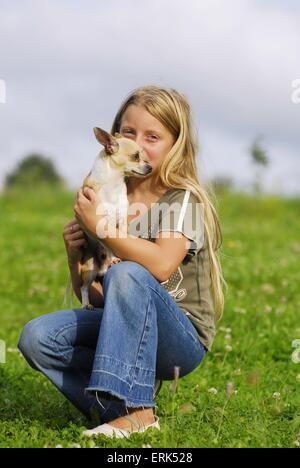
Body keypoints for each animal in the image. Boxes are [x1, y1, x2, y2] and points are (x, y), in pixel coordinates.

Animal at [79, 129, 152, 310]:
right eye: (136, 156)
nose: (150, 167)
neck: (114, 185)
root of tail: (101, 271)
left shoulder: (122, 220)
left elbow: (121, 239)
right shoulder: (101, 225)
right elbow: (109, 245)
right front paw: (113, 258)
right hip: (90, 268)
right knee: (84, 287)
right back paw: (86, 304)